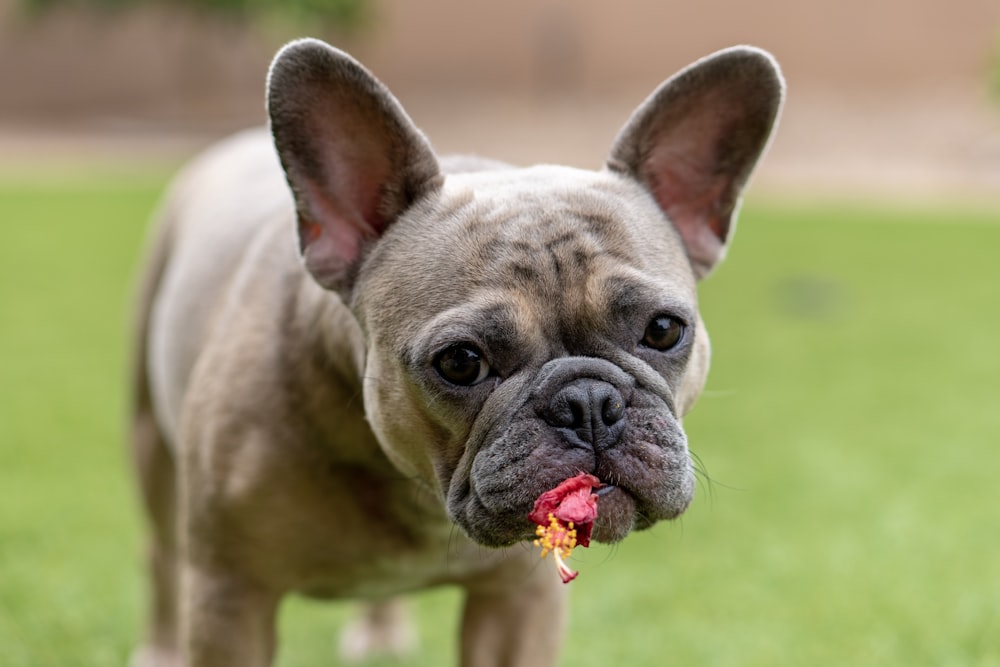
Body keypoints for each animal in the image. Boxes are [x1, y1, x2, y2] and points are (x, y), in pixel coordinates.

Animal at [131, 37, 780, 667]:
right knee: (161, 556)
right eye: (461, 362)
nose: (589, 402)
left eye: (665, 330)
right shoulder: (231, 596)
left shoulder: (517, 599)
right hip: (151, 447)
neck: (417, 490)